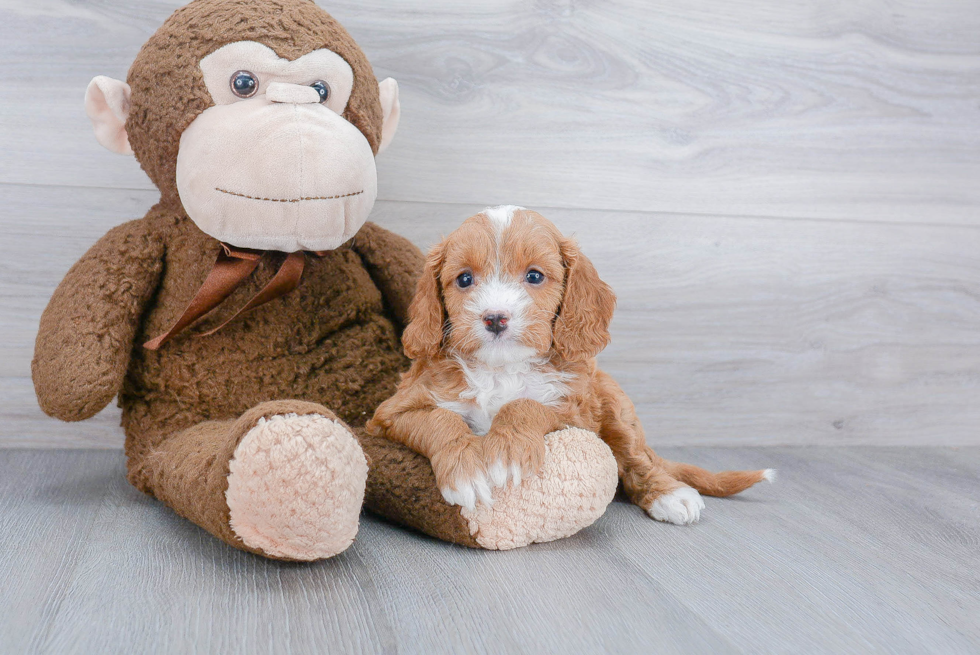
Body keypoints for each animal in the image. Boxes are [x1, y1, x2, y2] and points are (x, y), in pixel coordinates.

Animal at [368, 208, 772, 524]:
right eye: (464, 278)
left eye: (534, 276)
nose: (495, 317)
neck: (502, 369)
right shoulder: (389, 413)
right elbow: (440, 419)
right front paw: (467, 470)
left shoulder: (578, 414)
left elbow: (526, 405)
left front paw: (507, 454)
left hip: (615, 406)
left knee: (636, 460)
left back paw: (669, 495)